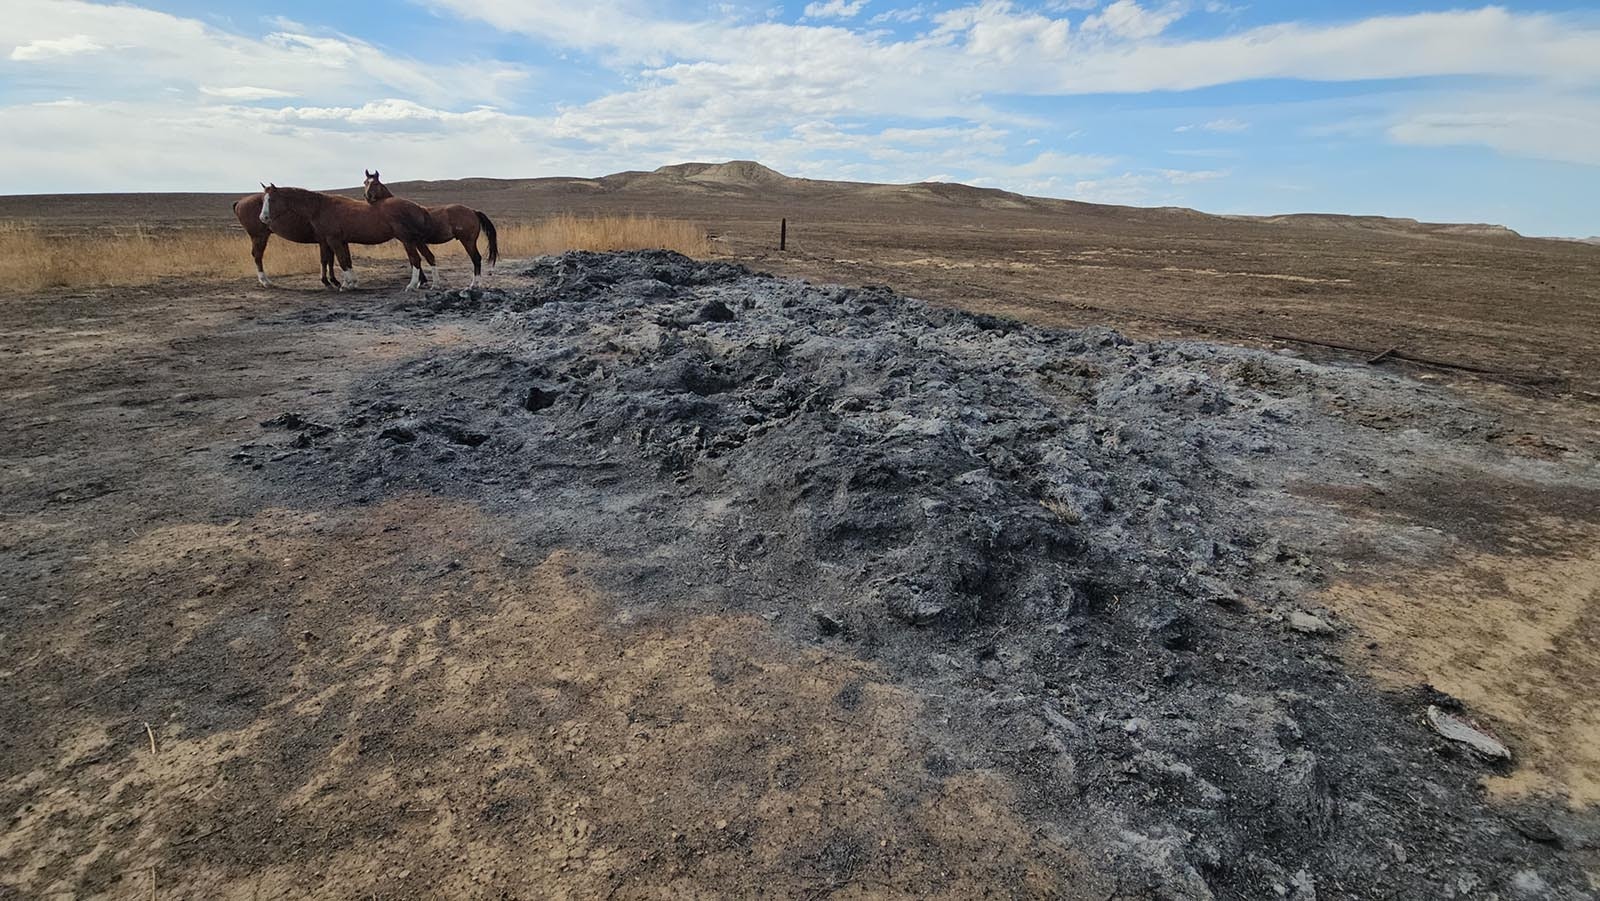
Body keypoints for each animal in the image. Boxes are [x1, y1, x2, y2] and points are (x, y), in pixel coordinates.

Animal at [257, 184, 435, 292]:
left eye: (271, 199)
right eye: (263, 200)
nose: (263, 218)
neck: (320, 208)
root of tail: (418, 207)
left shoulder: (333, 240)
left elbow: (342, 261)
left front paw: (346, 285)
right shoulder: (341, 241)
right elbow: (346, 261)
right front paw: (351, 282)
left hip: (407, 240)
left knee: (416, 260)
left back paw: (412, 285)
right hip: (415, 240)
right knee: (428, 257)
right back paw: (434, 283)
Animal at [364, 172, 499, 289]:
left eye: (375, 183)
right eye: (365, 182)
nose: (367, 196)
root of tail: (473, 211)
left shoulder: (409, 241)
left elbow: (416, 260)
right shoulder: (413, 242)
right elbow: (416, 259)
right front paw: (421, 282)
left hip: (468, 241)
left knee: (476, 259)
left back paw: (475, 284)